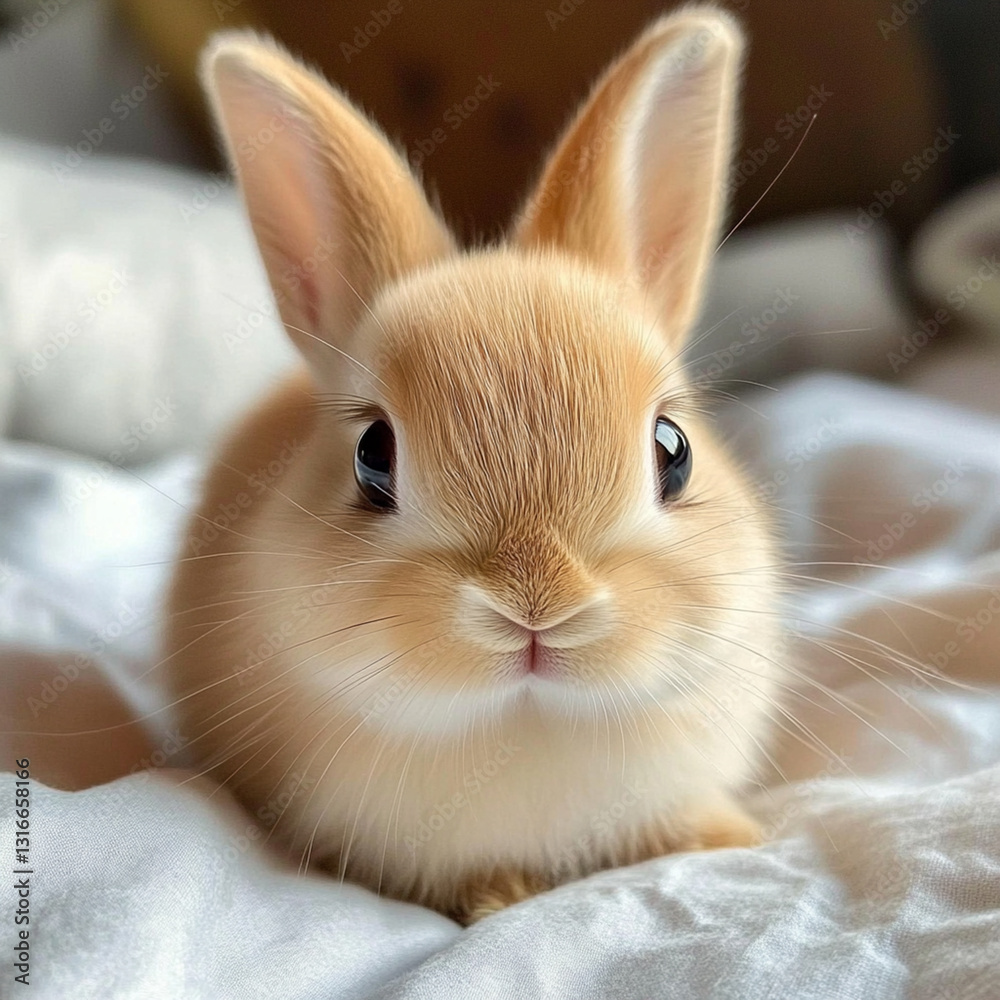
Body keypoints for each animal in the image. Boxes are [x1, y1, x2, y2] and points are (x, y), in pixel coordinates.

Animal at [164, 6, 784, 924]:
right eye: (372, 458)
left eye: (673, 451)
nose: (539, 605)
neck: (528, 725)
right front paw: (497, 896)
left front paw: (731, 841)